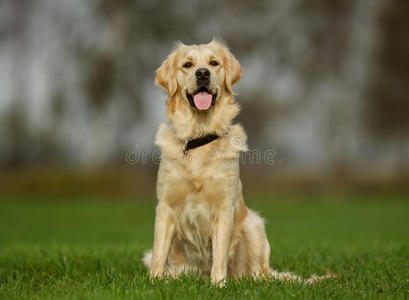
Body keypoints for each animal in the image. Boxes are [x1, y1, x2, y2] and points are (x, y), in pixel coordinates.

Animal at [143, 39, 332, 286]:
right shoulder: (166, 207)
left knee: (258, 274)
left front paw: (218, 285)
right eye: (187, 64)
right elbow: (158, 253)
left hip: (254, 224)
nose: (202, 73)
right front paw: (154, 283)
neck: (200, 137)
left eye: (214, 63)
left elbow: (219, 255)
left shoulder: (225, 208)